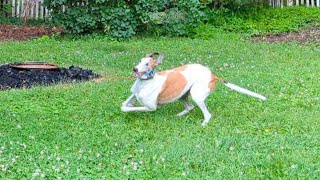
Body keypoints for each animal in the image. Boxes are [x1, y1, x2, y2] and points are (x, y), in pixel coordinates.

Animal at [121, 52, 266, 125]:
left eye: (147, 64)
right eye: (140, 61)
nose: (135, 69)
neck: (145, 82)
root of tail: (212, 75)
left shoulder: (151, 107)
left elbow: (127, 108)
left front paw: (130, 107)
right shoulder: (134, 93)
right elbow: (124, 104)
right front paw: (129, 103)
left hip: (196, 95)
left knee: (207, 114)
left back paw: (203, 124)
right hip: (182, 95)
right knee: (190, 107)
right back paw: (178, 115)